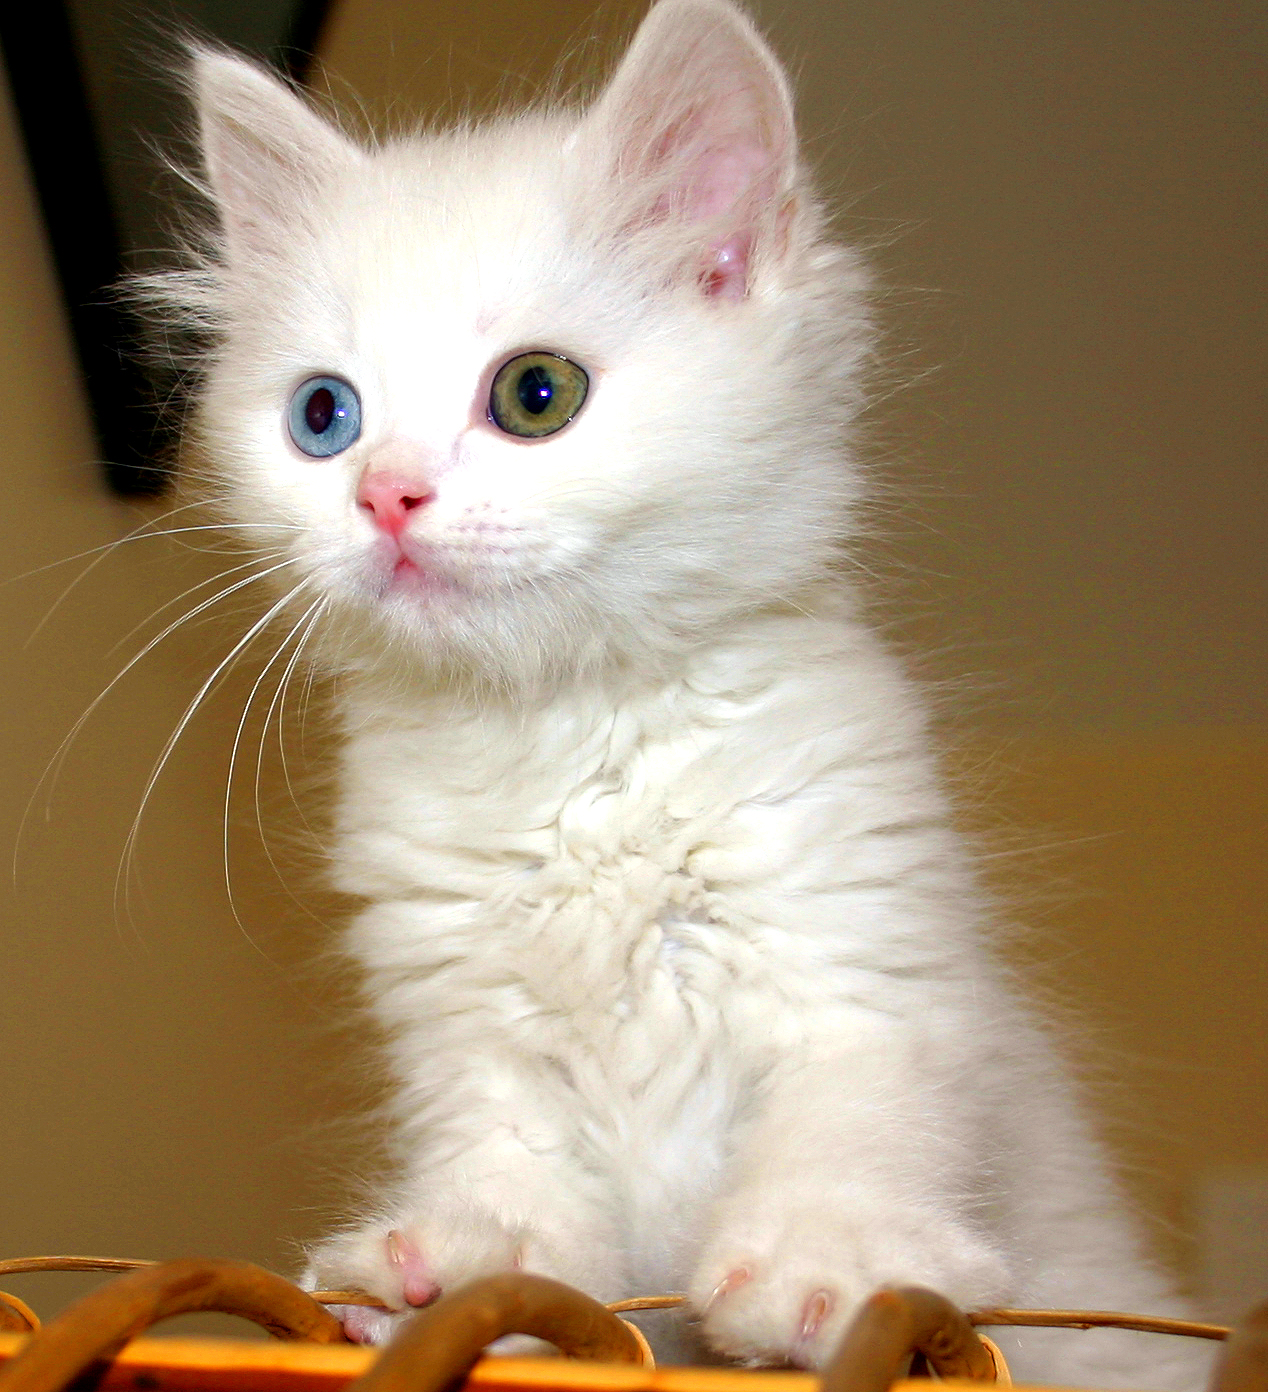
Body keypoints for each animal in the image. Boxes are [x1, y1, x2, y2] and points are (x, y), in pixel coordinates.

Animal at [163, 5, 1213, 1386]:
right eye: (322, 417)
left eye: (534, 394)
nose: (384, 494)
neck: (567, 746)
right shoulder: (471, 1034)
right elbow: (522, 1191)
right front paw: (453, 1264)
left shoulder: (863, 966)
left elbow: (848, 1134)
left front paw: (826, 1271)